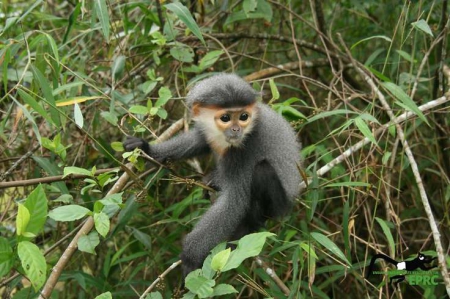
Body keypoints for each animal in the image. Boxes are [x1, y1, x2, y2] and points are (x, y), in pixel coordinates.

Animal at [123, 73, 302, 278]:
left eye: (243, 117)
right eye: (225, 118)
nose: (236, 130)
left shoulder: (246, 147)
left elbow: (234, 201)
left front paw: (190, 255)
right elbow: (197, 142)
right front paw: (146, 148)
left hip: (278, 203)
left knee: (261, 170)